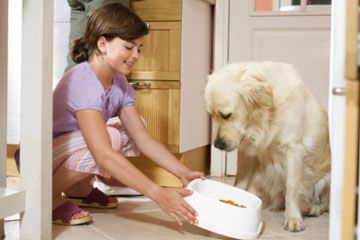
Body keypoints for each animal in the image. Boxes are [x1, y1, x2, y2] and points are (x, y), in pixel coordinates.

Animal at [204, 61, 330, 232]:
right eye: (211, 115)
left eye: (226, 115)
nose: (217, 145)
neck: (265, 116)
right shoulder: (247, 153)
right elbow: (239, 183)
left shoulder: (293, 150)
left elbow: (292, 187)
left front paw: (293, 218)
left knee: (326, 203)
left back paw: (313, 208)